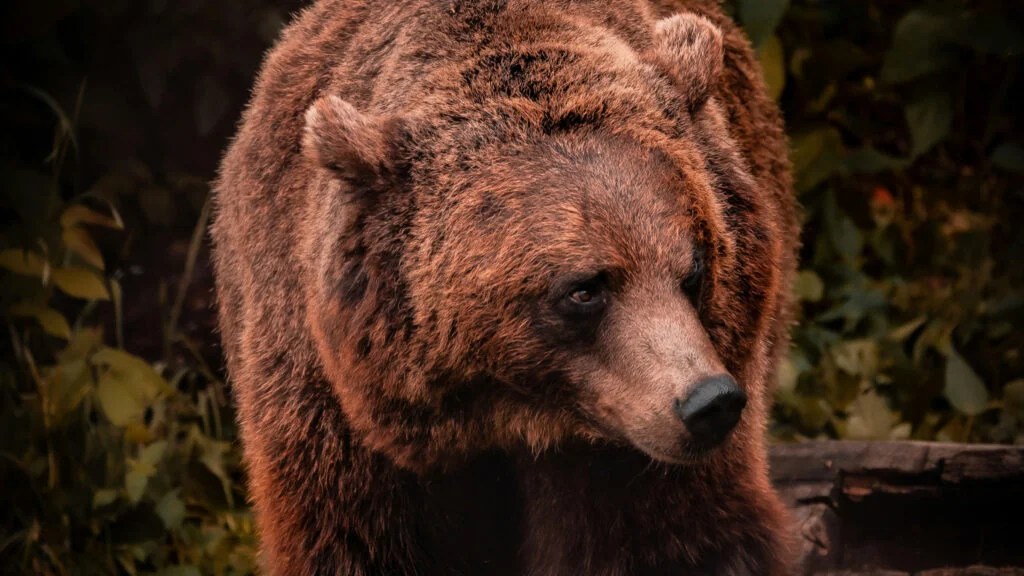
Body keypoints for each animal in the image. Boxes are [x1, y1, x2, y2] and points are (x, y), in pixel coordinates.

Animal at [210, 0, 800, 574]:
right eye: (585, 289)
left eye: (694, 268)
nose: (709, 401)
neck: (513, 414)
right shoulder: (335, 417)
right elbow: (356, 543)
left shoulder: (636, 444)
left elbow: (675, 537)